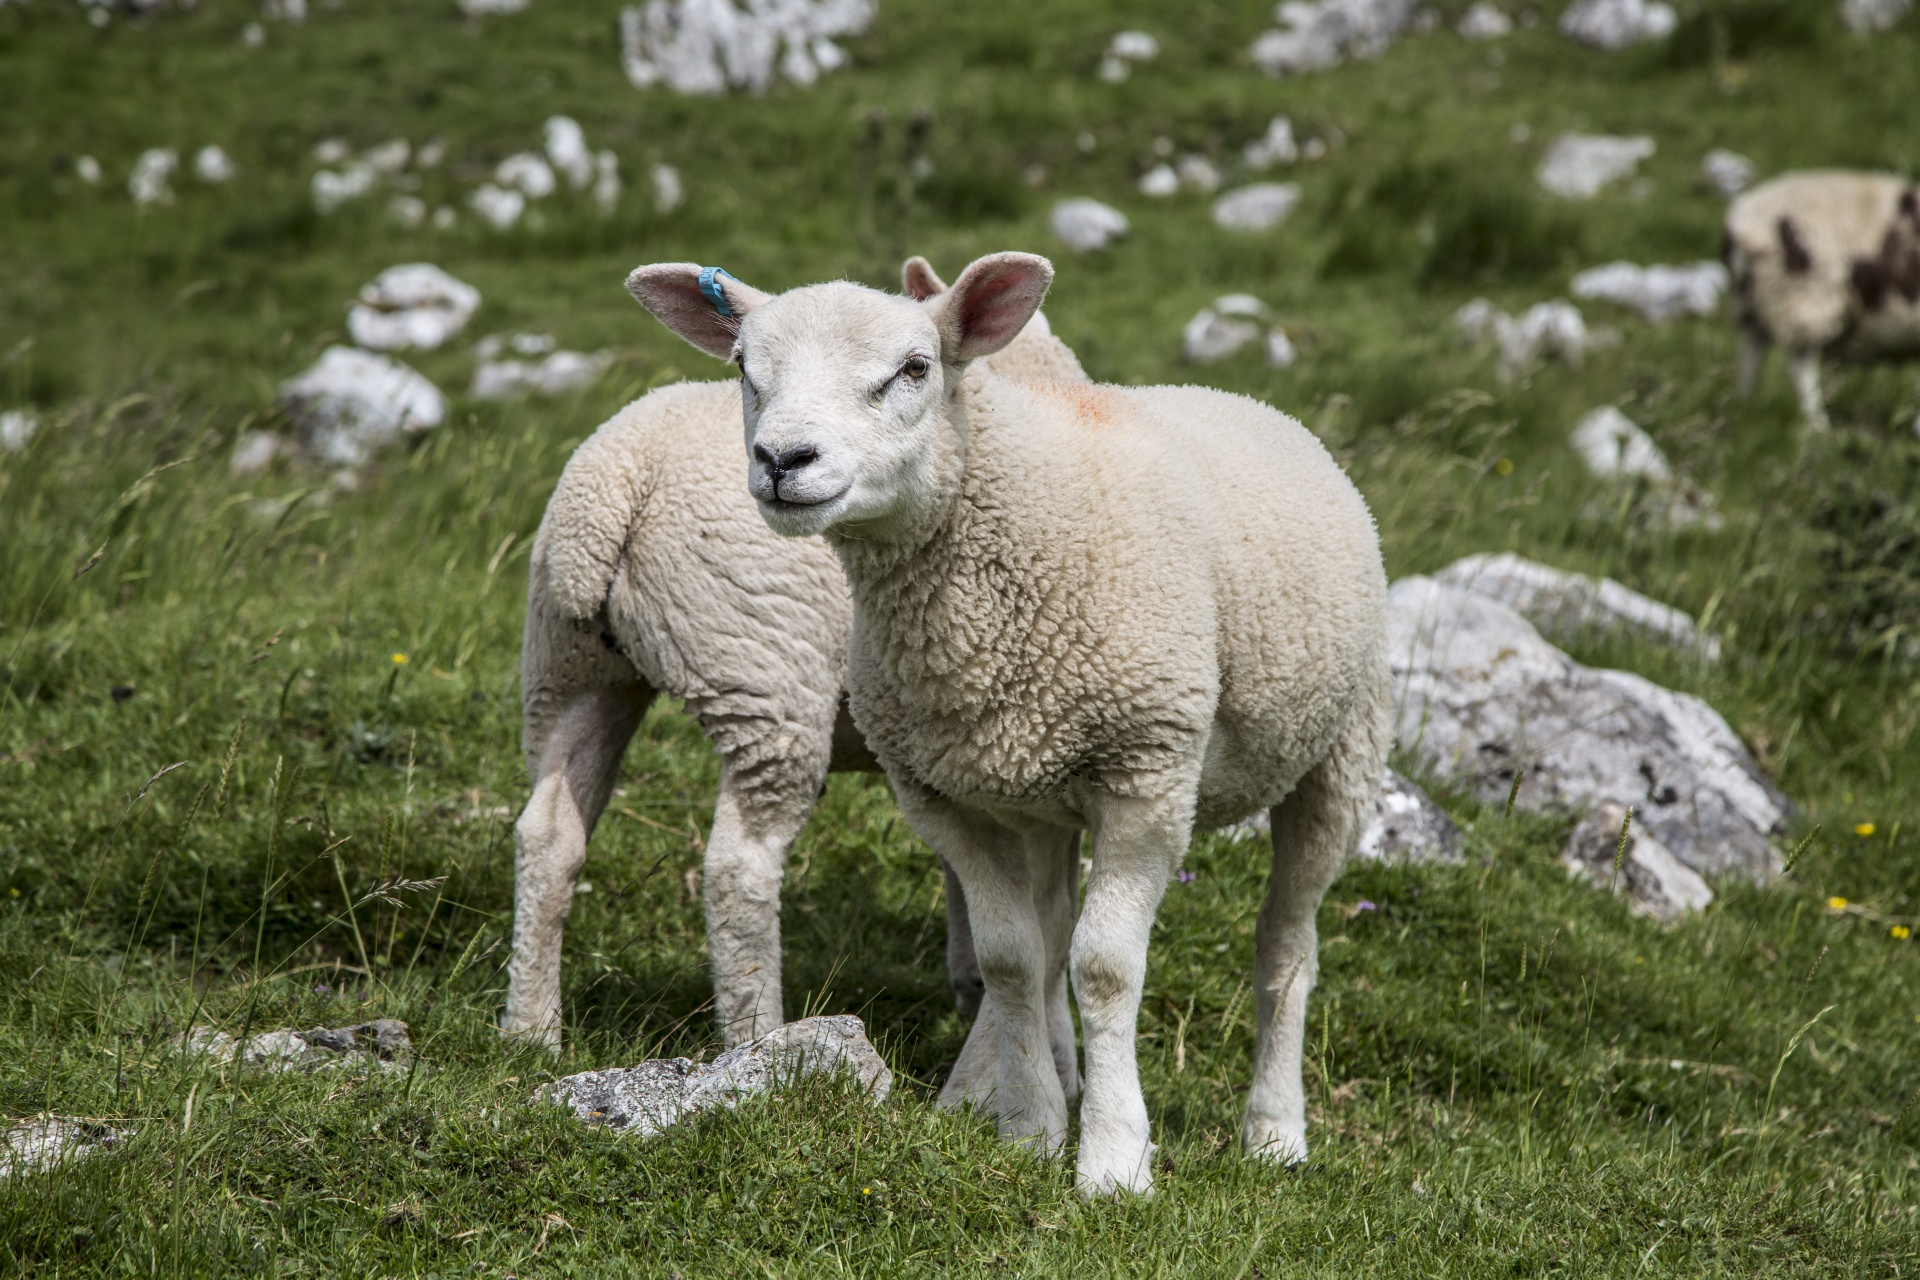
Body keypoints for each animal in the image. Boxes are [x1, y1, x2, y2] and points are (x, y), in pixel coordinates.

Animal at [503, 257, 1090, 1051]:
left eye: (913, 369)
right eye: (743, 365)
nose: (783, 459)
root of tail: (618, 486)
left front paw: (972, 985)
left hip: (568, 666)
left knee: (548, 836)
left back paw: (529, 1034)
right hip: (765, 679)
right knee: (738, 868)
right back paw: (761, 1042)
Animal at [629, 253, 1397, 1205]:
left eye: (914, 369)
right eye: (742, 367)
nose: (781, 459)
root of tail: (1247, 401)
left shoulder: (1149, 774)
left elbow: (1105, 967)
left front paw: (1114, 1161)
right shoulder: (943, 796)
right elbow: (1013, 960)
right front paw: (1029, 1130)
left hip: (1343, 748)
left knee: (1287, 944)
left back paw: (1275, 1132)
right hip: (1037, 785)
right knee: (1057, 922)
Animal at [1728, 167, 1920, 429]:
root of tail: (1746, 221)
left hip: (1753, 306)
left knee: (1751, 353)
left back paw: (1746, 406)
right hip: (1804, 302)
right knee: (1800, 366)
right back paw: (1818, 423)